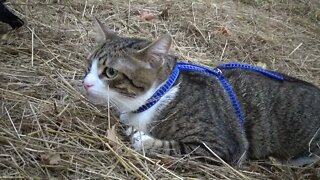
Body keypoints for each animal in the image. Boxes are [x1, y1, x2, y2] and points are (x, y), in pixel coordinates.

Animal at [82, 18, 320, 166]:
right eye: (88, 65)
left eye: (111, 72)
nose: (85, 83)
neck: (158, 96)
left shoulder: (227, 146)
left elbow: (176, 147)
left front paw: (145, 140)